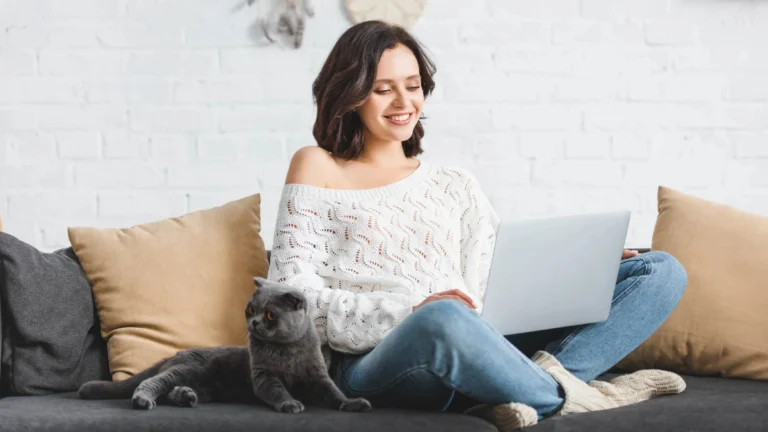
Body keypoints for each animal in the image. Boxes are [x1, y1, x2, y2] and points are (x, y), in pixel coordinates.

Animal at [76, 276, 370, 416]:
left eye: (270, 315)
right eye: (250, 310)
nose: (254, 323)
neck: (286, 351)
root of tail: (175, 354)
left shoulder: (318, 377)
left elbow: (334, 393)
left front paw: (353, 403)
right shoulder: (263, 376)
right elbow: (277, 391)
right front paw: (290, 404)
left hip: (203, 384)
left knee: (172, 391)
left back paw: (185, 397)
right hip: (187, 369)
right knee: (152, 382)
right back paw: (143, 400)